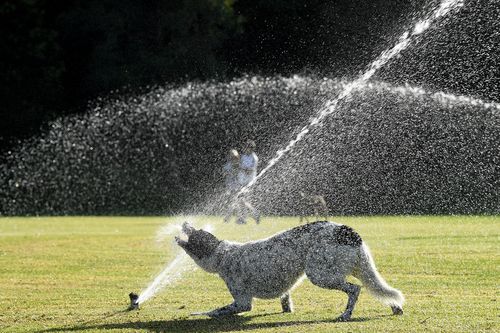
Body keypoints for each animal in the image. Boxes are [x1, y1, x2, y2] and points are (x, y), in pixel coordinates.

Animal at [175, 220, 402, 320]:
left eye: (194, 232)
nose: (185, 221)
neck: (222, 253)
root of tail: (348, 231)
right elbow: (285, 300)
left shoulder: (242, 302)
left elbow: (216, 310)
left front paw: (200, 313)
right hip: (360, 269)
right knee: (380, 290)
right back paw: (395, 307)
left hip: (320, 274)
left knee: (355, 289)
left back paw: (345, 315)